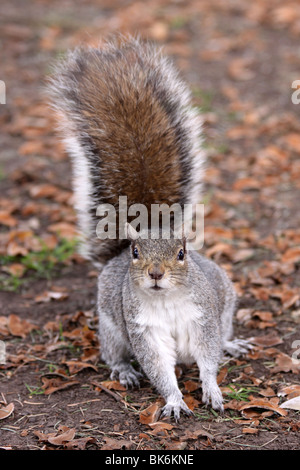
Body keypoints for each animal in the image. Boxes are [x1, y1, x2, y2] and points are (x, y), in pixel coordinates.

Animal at [48, 35, 248, 420]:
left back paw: (233, 344)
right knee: (114, 353)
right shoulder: (144, 330)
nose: (156, 273)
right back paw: (124, 370)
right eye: (136, 252)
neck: (167, 299)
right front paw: (173, 400)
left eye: (182, 253)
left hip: (226, 310)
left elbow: (208, 357)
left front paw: (212, 390)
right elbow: (158, 368)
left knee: (223, 336)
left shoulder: (205, 320)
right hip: (111, 327)